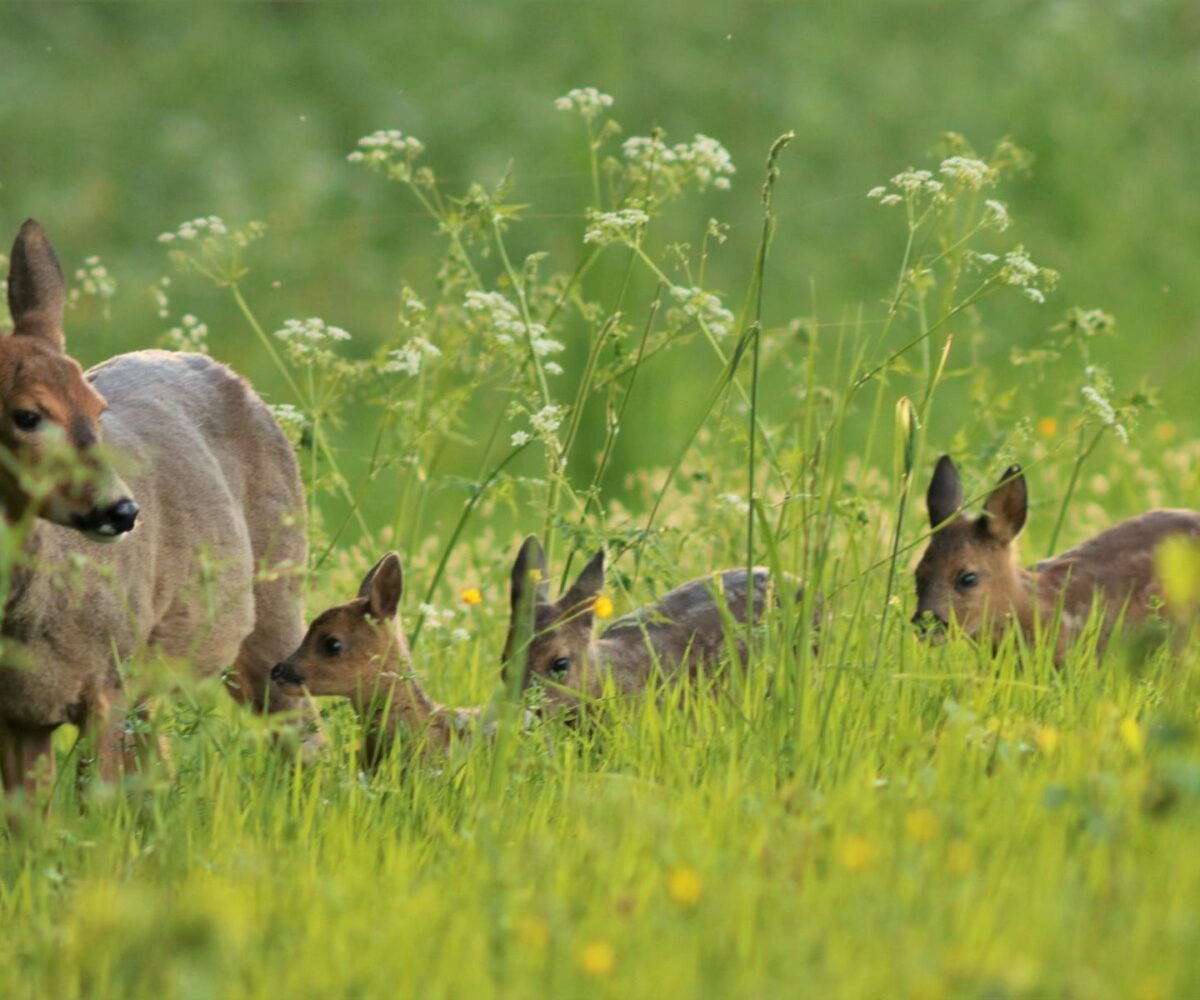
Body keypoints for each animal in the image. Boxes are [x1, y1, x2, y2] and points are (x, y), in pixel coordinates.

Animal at [1, 220, 309, 797]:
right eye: (27, 415)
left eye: (97, 408)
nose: (122, 510)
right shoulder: (17, 713)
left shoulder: (108, 677)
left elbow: (97, 805)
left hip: (278, 594)